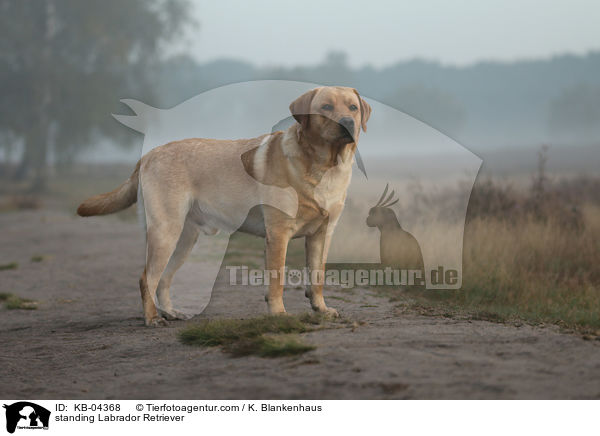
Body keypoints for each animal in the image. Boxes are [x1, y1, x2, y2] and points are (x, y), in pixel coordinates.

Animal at [78, 85, 370, 326]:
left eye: (353, 108)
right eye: (326, 107)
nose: (348, 123)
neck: (324, 164)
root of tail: (149, 154)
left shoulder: (322, 233)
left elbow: (317, 277)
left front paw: (321, 309)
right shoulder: (278, 234)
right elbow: (277, 280)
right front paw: (278, 314)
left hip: (184, 239)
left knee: (164, 279)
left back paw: (171, 313)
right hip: (165, 232)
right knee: (146, 278)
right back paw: (152, 319)